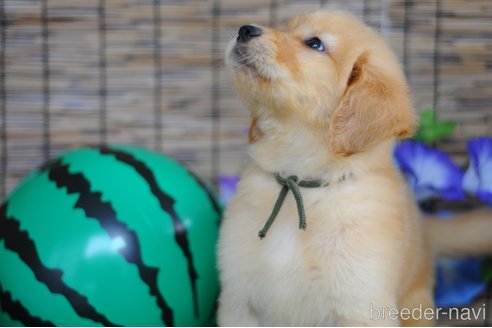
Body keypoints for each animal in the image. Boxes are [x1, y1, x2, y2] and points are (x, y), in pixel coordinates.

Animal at [219, 9, 492, 326]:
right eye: (286, 28)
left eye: (315, 44)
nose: (245, 30)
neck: (302, 181)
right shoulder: (239, 302)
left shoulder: (360, 306)